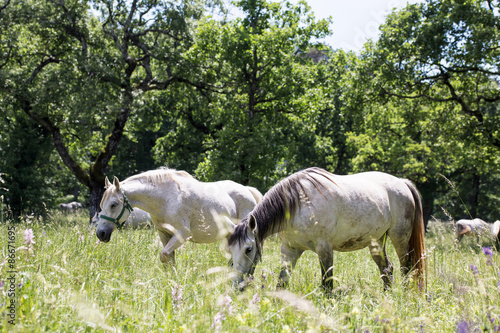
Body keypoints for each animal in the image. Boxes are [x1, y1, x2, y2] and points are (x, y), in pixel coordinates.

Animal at [95, 169, 264, 264]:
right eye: (101, 204)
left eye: (114, 204)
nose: (100, 233)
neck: (166, 199)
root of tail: (247, 190)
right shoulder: (164, 234)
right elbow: (169, 259)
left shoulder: (182, 234)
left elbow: (164, 256)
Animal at [227, 167, 426, 290]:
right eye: (230, 250)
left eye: (249, 249)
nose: (236, 284)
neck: (297, 205)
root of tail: (402, 183)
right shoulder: (290, 249)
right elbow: (282, 283)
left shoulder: (324, 249)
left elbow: (327, 284)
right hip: (376, 241)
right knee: (387, 269)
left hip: (400, 238)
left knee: (406, 268)